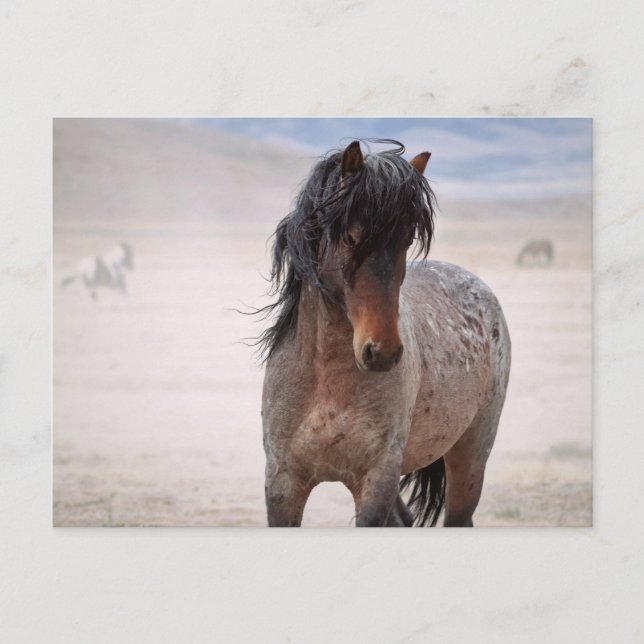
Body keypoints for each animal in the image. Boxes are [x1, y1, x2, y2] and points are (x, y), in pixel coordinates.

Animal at [258, 140, 511, 527]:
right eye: (351, 237)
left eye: (407, 240)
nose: (383, 351)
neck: (326, 384)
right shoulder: (282, 486)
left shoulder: (376, 483)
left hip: (469, 457)